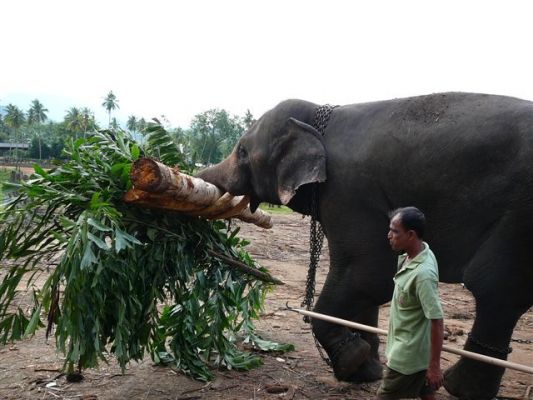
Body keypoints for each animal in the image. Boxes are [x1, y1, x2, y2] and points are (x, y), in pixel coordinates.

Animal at [196, 92, 532, 398]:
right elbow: (368, 284)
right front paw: (366, 371)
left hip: (518, 217)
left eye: (242, 151)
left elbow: (366, 275)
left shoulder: (348, 192)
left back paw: (457, 388)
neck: (319, 114)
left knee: (494, 289)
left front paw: (351, 362)